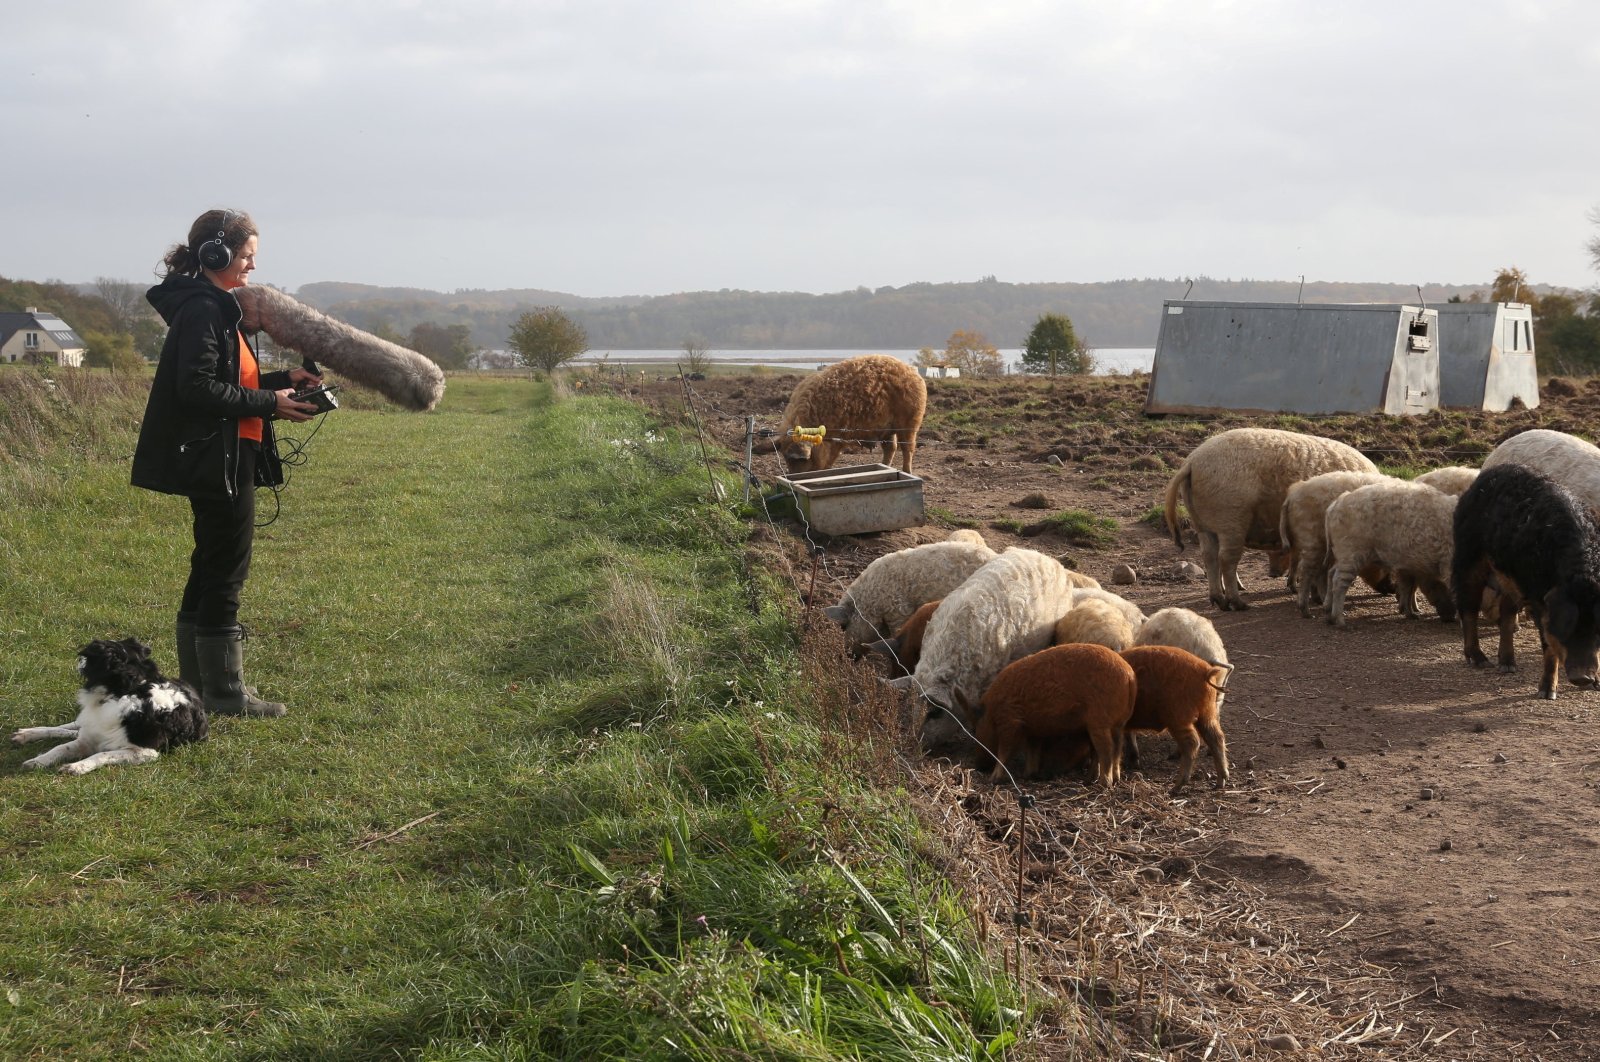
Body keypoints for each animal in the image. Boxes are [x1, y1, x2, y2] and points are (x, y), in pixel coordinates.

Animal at [10, 633, 209, 777]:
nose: (79, 659)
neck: (126, 692)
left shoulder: (145, 752)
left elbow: (101, 754)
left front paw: (77, 766)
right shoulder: (87, 738)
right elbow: (60, 747)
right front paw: (38, 761)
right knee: (66, 728)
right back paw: (27, 733)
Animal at [1164, 428, 1376, 610]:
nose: (1272, 573)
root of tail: (1192, 461)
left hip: (1202, 524)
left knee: (1209, 556)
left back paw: (1220, 602)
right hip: (1231, 518)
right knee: (1226, 559)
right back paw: (1239, 604)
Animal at [1324, 486, 1465, 626]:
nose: (1449, 619)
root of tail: (1334, 505)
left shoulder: (1408, 567)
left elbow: (1407, 588)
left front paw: (1412, 615)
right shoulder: (1448, 564)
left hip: (1343, 554)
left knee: (1331, 572)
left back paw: (1328, 611)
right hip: (1350, 550)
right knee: (1339, 582)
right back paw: (1340, 622)